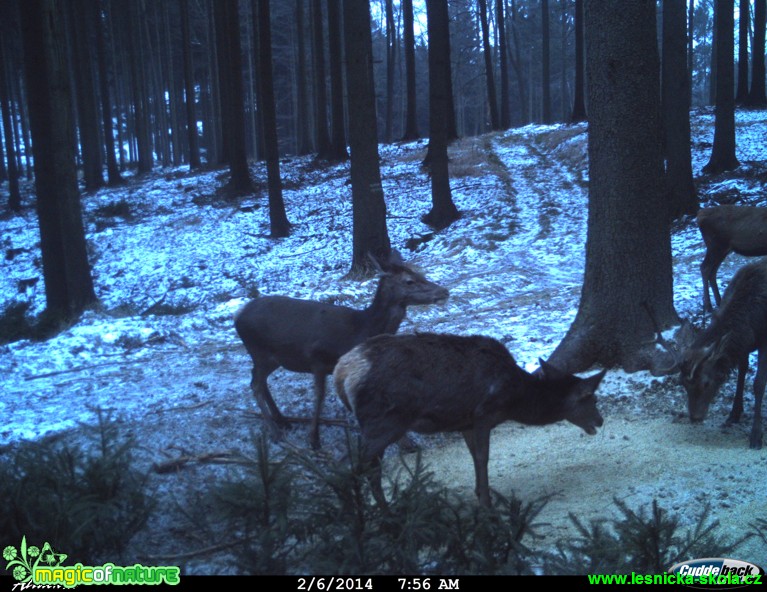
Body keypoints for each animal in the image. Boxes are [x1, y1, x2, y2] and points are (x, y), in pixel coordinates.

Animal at [234, 250, 450, 448]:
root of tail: (238, 316)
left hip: (271, 358)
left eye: (419, 274)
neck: (362, 330)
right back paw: (275, 432)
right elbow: (320, 396)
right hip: (259, 351)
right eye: (409, 281)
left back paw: (282, 420)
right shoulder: (317, 358)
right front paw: (314, 439)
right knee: (255, 384)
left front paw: (405, 442)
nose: (444, 291)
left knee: (261, 381)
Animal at [334, 332, 608, 508]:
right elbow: (483, 457)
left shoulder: (465, 422)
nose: (601, 421)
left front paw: (479, 493)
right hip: (383, 422)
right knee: (348, 465)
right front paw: (487, 504)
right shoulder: (484, 414)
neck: (514, 400)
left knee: (370, 468)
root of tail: (341, 372)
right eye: (591, 399)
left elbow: (474, 455)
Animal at [652, 258, 767, 448]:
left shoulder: (764, 340)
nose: (694, 417)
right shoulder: (744, 344)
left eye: (706, 383)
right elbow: (742, 372)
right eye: (683, 383)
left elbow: (758, 384)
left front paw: (756, 435)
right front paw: (734, 413)